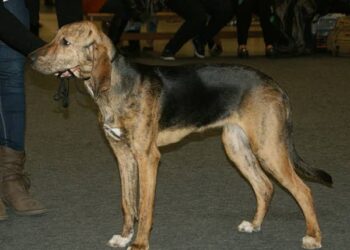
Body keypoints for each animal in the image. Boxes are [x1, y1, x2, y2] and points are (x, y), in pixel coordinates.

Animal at [28, 21, 332, 248]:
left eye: (66, 42)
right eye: (55, 37)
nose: (30, 58)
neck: (117, 84)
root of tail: (275, 85)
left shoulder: (147, 157)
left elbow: (145, 207)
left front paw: (139, 243)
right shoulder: (124, 156)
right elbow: (127, 203)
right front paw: (124, 237)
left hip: (269, 149)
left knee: (303, 191)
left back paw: (313, 237)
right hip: (236, 146)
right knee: (265, 186)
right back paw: (254, 225)